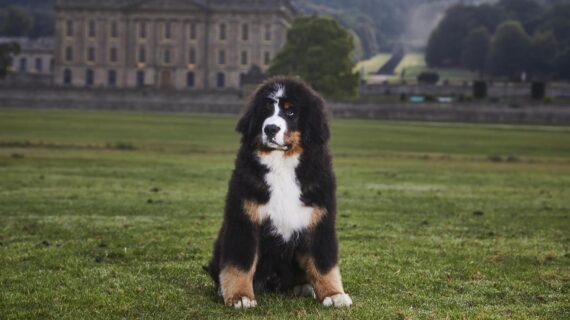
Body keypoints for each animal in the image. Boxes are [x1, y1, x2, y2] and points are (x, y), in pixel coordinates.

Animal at [202, 76, 348, 308]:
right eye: (265, 110)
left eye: (291, 112)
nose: (270, 128)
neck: (282, 164)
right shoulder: (243, 220)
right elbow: (239, 263)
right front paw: (240, 296)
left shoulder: (319, 221)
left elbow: (323, 263)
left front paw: (334, 294)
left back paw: (304, 286)